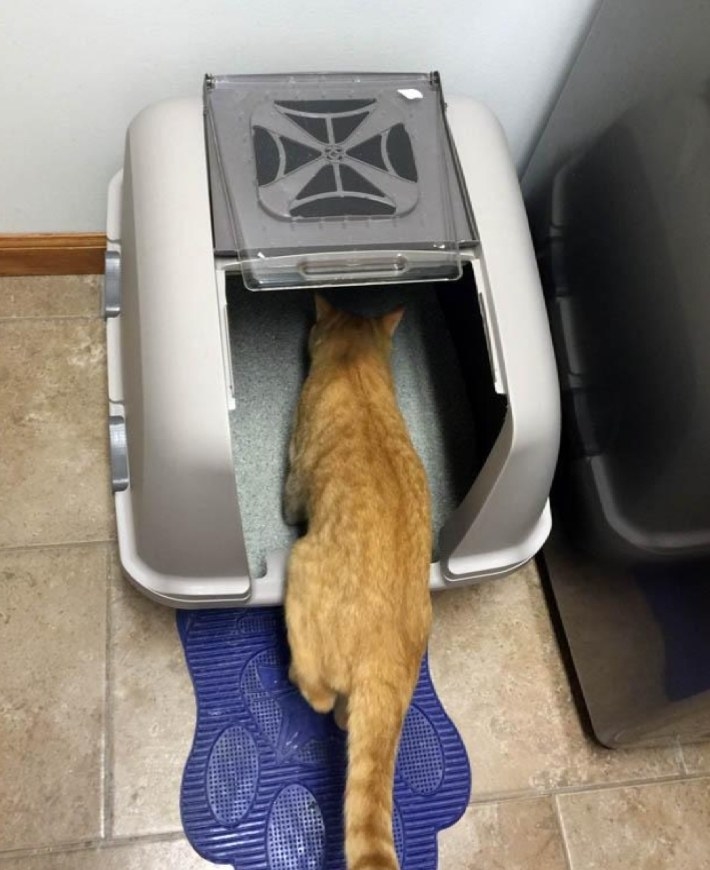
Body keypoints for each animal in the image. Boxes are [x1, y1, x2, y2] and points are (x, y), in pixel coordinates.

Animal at [286, 296, 434, 870]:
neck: (355, 364)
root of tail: (385, 656)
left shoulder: (294, 474)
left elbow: (289, 500)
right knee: (349, 723)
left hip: (298, 565)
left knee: (319, 692)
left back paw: (299, 679)